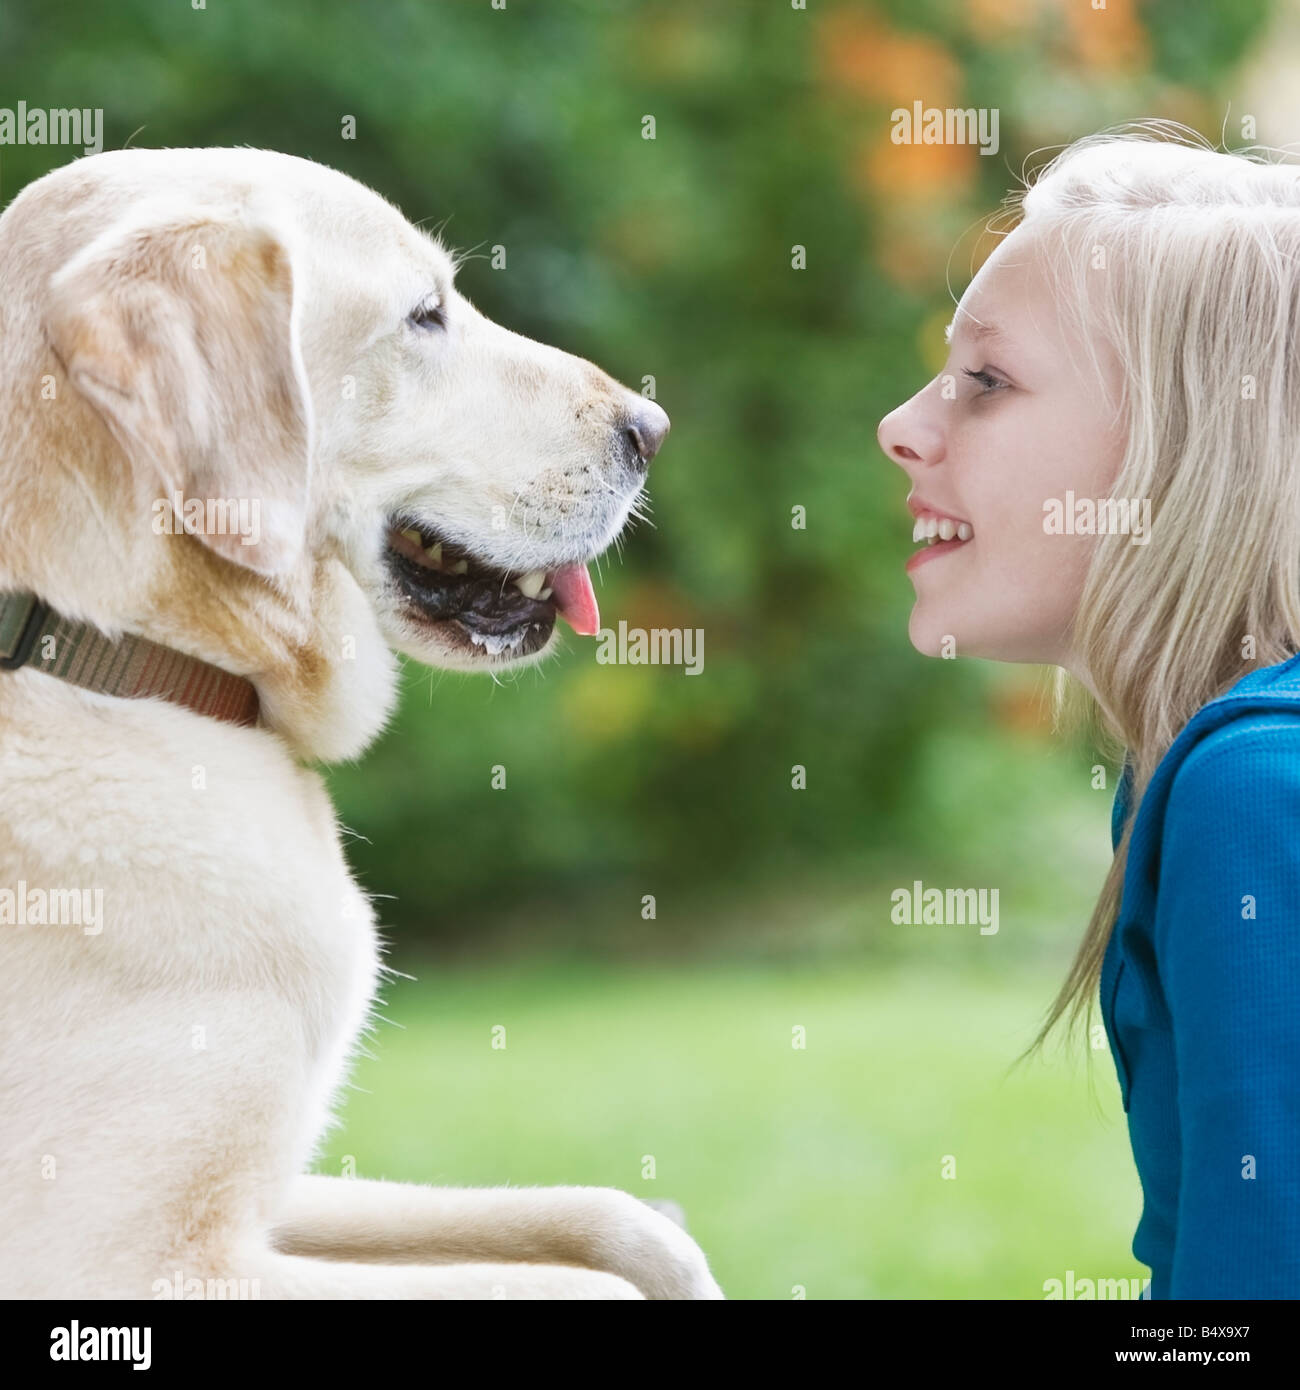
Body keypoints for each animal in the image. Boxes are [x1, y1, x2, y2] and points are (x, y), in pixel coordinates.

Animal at [0, 146, 722, 1295]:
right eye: (425, 315)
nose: (650, 430)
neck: (115, 657)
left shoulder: (281, 1193)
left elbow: (620, 1223)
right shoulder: (128, 1262)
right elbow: (575, 1279)